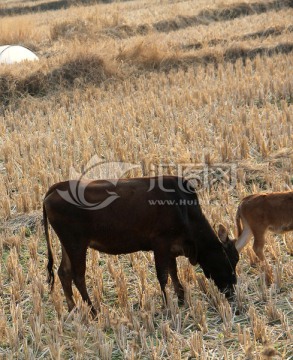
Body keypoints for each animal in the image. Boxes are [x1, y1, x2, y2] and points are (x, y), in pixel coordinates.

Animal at [43, 176, 237, 316]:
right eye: (227, 259)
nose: (232, 290)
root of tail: (57, 187)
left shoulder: (171, 248)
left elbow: (173, 272)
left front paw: (181, 298)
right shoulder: (160, 244)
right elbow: (163, 276)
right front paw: (167, 303)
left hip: (68, 244)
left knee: (64, 273)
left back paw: (73, 309)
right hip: (76, 243)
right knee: (78, 276)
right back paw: (93, 311)